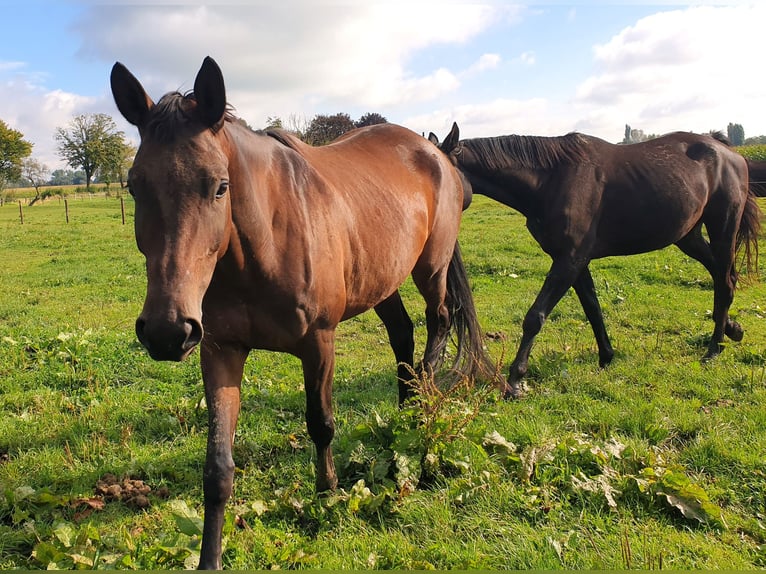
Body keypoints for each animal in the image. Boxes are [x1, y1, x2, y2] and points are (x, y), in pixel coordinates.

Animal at [109, 58, 492, 572]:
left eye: (220, 186)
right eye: (134, 185)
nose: (167, 331)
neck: (261, 247)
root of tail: (435, 153)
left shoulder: (319, 342)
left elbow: (321, 421)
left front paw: (327, 493)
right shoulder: (220, 350)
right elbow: (217, 466)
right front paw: (210, 557)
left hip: (431, 268)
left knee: (439, 322)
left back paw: (421, 403)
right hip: (382, 278)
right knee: (402, 334)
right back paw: (403, 411)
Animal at [432, 121, 760, 400]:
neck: (551, 179)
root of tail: (728, 151)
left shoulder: (570, 259)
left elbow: (535, 317)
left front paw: (515, 379)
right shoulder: (575, 261)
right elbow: (592, 308)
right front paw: (606, 356)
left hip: (723, 228)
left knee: (725, 281)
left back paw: (714, 349)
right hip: (688, 236)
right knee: (722, 277)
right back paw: (730, 329)